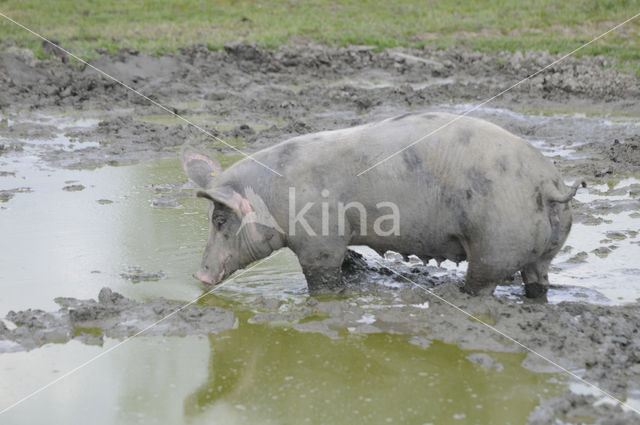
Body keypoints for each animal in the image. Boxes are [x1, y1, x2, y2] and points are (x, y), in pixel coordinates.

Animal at [182, 112, 584, 298]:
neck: (272, 194)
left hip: (495, 245)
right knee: (538, 280)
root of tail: (550, 185)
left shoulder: (320, 238)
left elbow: (322, 276)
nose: (199, 276)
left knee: (484, 283)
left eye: (220, 220)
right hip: (543, 249)